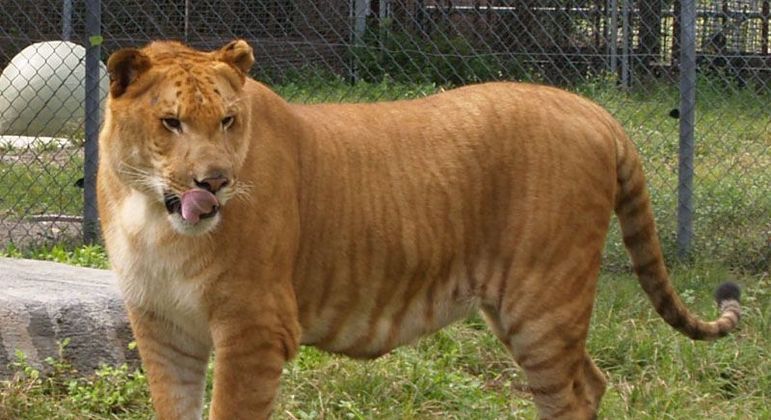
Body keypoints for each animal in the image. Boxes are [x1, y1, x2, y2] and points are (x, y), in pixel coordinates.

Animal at [96, 39, 741, 420]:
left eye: (228, 121)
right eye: (171, 122)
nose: (215, 182)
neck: (151, 216)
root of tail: (595, 112)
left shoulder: (256, 326)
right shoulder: (161, 327)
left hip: (542, 300)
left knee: (575, 396)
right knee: (593, 380)